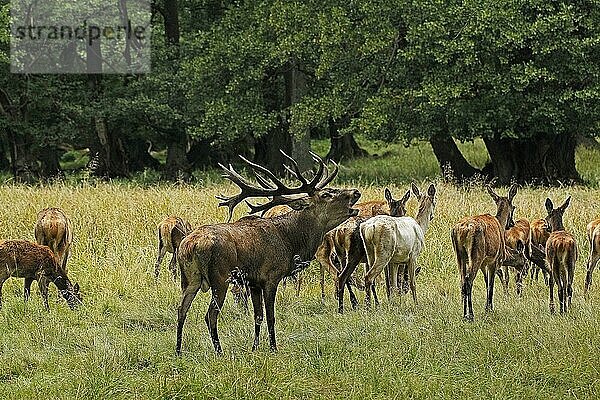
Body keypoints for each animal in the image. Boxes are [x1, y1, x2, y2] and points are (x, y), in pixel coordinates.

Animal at [175, 151, 360, 354]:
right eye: (326, 194)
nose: (356, 192)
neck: (291, 241)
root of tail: (190, 245)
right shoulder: (271, 276)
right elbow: (271, 316)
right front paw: (273, 347)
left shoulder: (253, 282)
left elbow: (258, 316)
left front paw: (254, 347)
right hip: (220, 278)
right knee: (210, 315)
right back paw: (219, 351)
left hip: (189, 279)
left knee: (181, 309)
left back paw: (178, 351)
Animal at [452, 183, 516, 320]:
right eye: (513, 207)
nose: (511, 223)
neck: (500, 224)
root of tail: (462, 230)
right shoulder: (495, 260)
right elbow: (491, 285)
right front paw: (489, 309)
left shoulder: (484, 263)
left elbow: (487, 283)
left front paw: (487, 307)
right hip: (476, 254)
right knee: (468, 280)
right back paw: (470, 315)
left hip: (459, 255)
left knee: (462, 280)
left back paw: (464, 313)